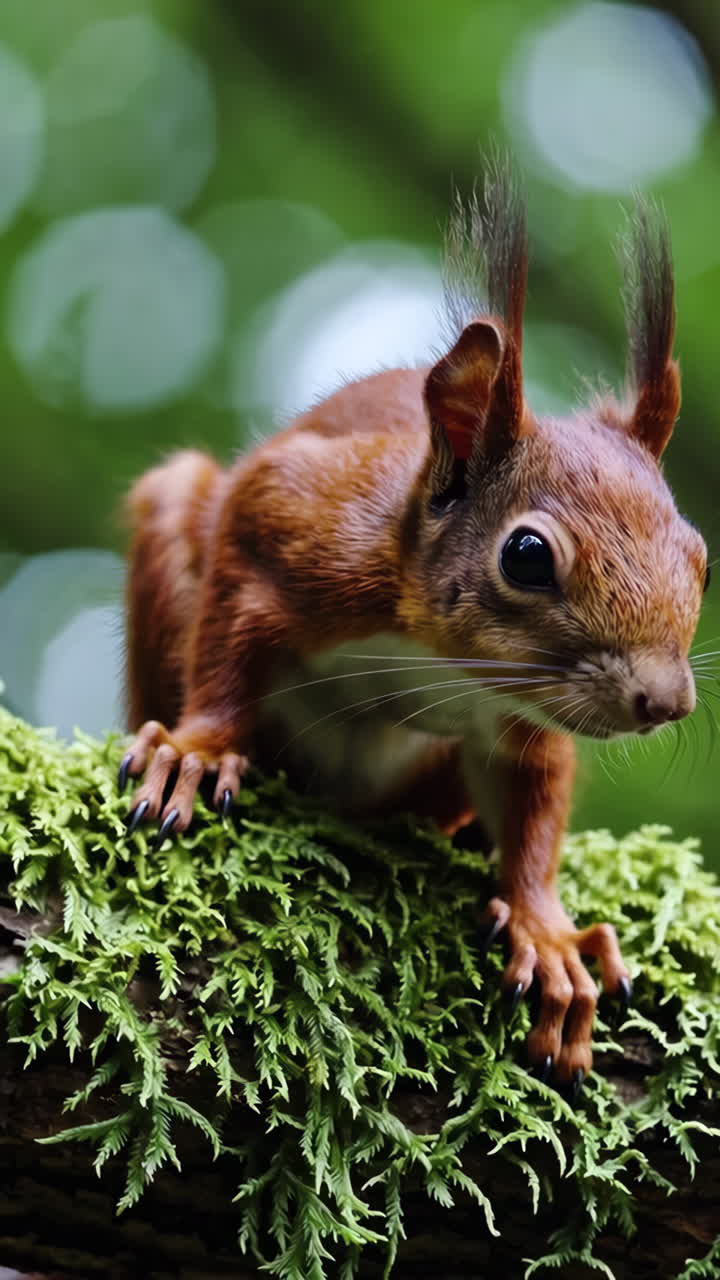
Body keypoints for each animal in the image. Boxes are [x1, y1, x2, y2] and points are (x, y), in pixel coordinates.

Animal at [118, 159, 708, 1089]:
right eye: (527, 555)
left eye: (701, 556)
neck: (442, 658)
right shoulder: (289, 529)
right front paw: (197, 749)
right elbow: (226, 645)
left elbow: (534, 809)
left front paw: (547, 932)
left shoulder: (527, 721)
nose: (665, 702)